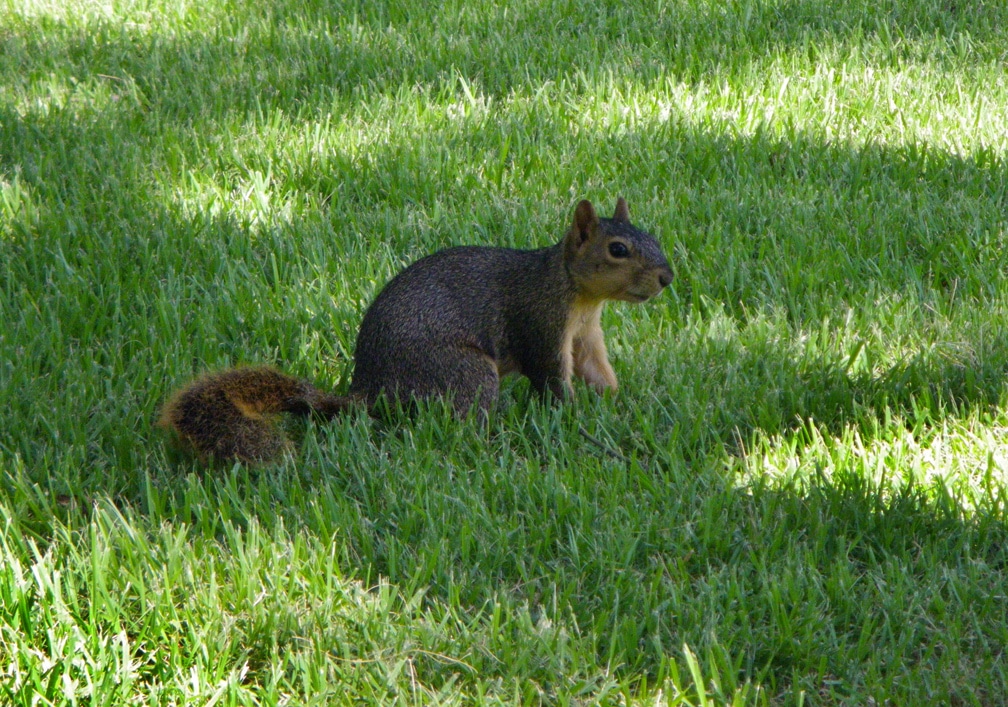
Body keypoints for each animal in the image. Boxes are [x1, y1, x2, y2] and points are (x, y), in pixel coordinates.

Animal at [159, 197, 673, 463]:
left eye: (653, 237)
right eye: (618, 249)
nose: (667, 277)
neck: (579, 296)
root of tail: (372, 390)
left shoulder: (585, 335)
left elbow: (598, 374)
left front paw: (619, 405)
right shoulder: (541, 324)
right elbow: (551, 377)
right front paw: (572, 419)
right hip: (462, 372)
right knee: (462, 419)